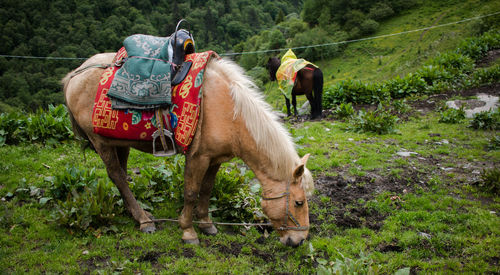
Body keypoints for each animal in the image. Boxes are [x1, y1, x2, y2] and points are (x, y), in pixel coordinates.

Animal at [61, 52, 312, 248]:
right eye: (299, 202)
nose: (299, 241)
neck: (229, 110)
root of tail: (74, 74)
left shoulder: (216, 159)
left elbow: (207, 189)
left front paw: (207, 224)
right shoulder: (198, 157)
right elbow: (191, 192)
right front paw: (188, 231)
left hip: (117, 141)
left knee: (121, 175)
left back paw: (136, 214)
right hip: (100, 142)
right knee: (117, 176)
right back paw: (144, 221)